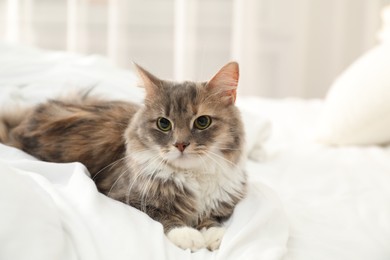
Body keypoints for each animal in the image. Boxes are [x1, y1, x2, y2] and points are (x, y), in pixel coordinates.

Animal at [0, 61, 247, 252]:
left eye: (202, 121)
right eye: (163, 124)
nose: (180, 144)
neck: (193, 175)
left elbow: (211, 218)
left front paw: (214, 234)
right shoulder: (126, 197)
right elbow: (164, 216)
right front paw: (189, 236)